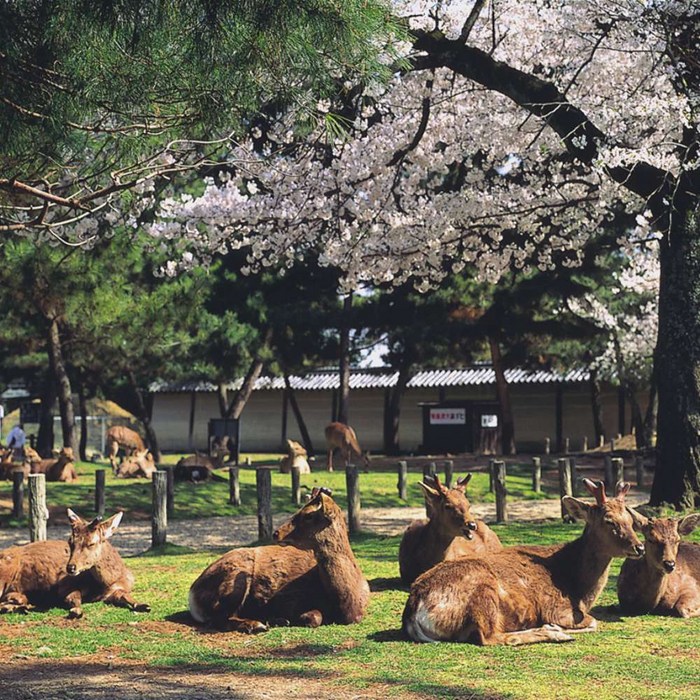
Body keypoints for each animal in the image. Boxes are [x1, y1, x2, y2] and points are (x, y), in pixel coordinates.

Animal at [0, 508, 150, 616]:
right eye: (70, 541)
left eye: (91, 543)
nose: (70, 568)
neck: (105, 583)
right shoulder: (65, 585)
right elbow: (73, 597)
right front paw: (76, 610)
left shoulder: (118, 589)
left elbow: (125, 595)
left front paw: (144, 605)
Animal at [189, 486, 370, 636]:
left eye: (308, 515)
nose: (276, 533)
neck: (348, 606)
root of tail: (192, 594)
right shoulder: (291, 599)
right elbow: (312, 618)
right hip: (235, 578)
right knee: (219, 618)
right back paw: (258, 625)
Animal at [402, 482, 648, 644]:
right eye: (609, 521)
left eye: (630, 519)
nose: (640, 547)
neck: (580, 590)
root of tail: (413, 608)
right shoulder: (557, 608)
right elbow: (594, 622)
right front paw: (556, 627)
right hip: (484, 592)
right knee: (489, 637)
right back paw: (553, 633)